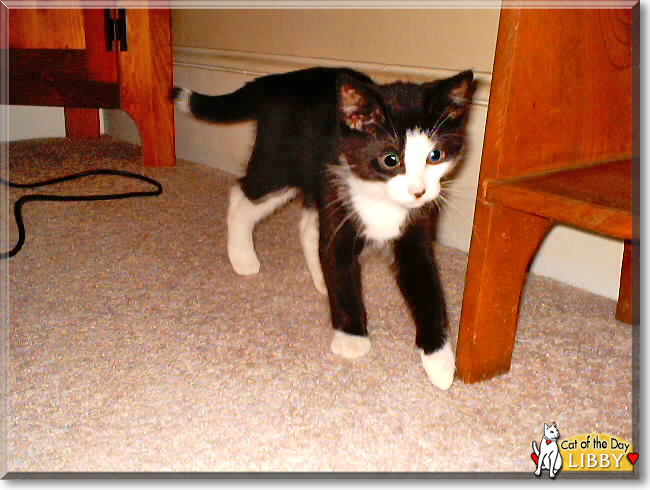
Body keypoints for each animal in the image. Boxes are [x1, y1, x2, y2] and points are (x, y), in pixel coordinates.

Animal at [172, 68, 474, 390]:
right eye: (390, 159)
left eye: (436, 155)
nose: (419, 192)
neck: (382, 198)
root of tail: (279, 79)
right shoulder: (339, 202)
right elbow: (339, 266)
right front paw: (351, 337)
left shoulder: (415, 230)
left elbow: (427, 286)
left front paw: (440, 360)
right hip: (279, 160)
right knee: (243, 196)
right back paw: (243, 259)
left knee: (307, 226)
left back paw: (318, 277)